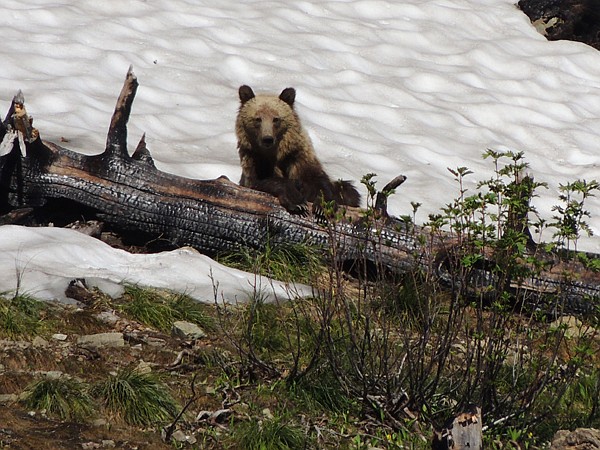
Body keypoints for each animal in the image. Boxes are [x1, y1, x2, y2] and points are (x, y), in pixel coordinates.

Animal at [234, 85, 358, 214]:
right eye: (258, 119)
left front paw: (322, 207)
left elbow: (318, 181)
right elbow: (265, 182)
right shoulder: (255, 161)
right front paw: (297, 202)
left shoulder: (299, 157)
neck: (277, 154)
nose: (267, 139)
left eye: (276, 119)